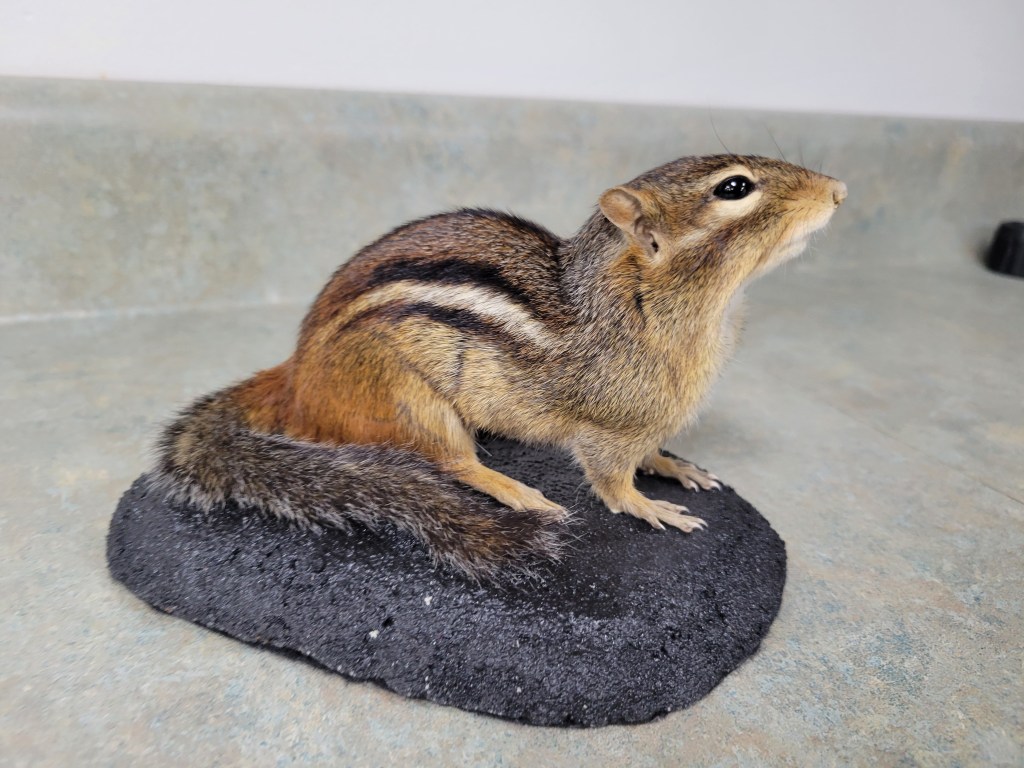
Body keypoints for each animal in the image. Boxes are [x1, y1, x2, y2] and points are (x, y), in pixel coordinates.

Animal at [151, 154, 846, 580]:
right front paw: (653, 507)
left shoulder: (644, 423)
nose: (839, 190)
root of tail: (297, 378)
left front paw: (677, 467)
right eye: (734, 188)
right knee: (452, 463)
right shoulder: (607, 429)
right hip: (413, 401)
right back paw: (514, 489)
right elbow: (611, 483)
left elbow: (652, 452)